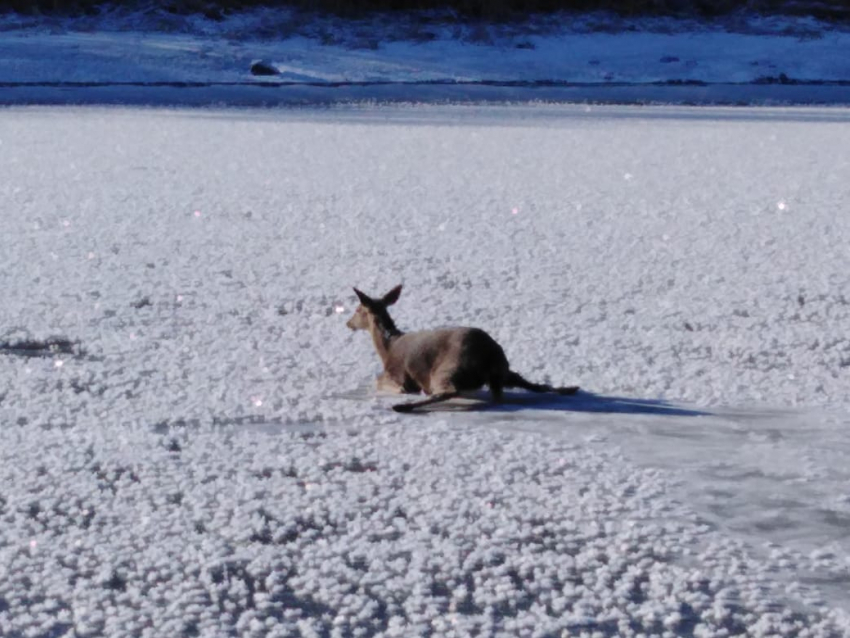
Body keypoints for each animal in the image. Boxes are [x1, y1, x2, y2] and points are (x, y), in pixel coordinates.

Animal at [342, 286, 576, 416]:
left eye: (357, 309)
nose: (348, 323)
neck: (388, 346)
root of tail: (489, 355)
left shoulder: (397, 374)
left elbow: (384, 383)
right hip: (503, 370)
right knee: (534, 384)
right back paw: (570, 388)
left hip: (449, 367)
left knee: (448, 390)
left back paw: (404, 407)